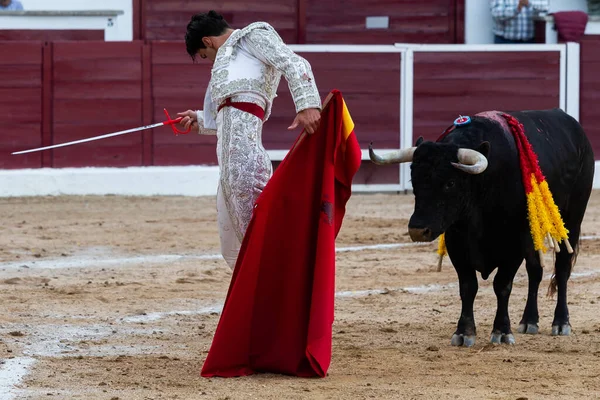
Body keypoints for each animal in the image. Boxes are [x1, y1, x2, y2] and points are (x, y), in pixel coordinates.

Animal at [370, 109, 596, 346]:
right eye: (414, 181)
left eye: (450, 183)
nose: (417, 230)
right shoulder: (456, 242)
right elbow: (468, 286)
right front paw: (464, 332)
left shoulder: (513, 245)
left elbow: (502, 285)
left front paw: (502, 332)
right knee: (535, 270)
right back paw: (529, 321)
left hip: (572, 219)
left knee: (562, 269)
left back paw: (561, 323)